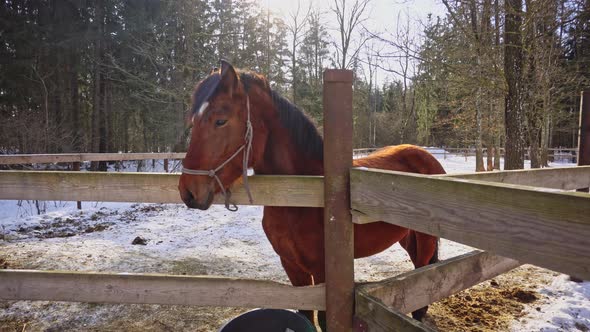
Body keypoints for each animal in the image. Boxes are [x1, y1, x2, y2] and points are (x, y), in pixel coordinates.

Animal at [178, 60, 446, 330]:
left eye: (220, 121)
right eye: (192, 121)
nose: (187, 191)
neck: (299, 200)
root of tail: (426, 157)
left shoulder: (322, 271)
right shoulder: (292, 267)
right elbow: (304, 314)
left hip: (425, 240)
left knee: (423, 279)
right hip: (407, 236)